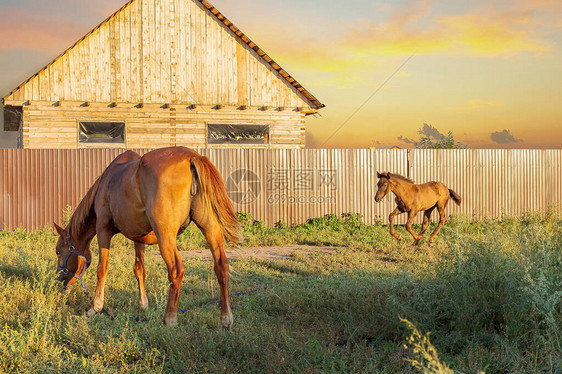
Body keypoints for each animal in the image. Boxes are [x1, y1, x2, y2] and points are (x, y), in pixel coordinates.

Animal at [53, 148, 242, 328]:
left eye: (58, 251)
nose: (58, 282)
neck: (107, 182)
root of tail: (192, 156)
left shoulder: (103, 229)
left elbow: (102, 268)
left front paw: (95, 307)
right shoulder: (138, 237)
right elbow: (139, 269)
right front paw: (143, 305)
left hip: (165, 235)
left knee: (177, 270)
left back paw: (169, 319)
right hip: (210, 228)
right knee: (221, 266)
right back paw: (226, 319)